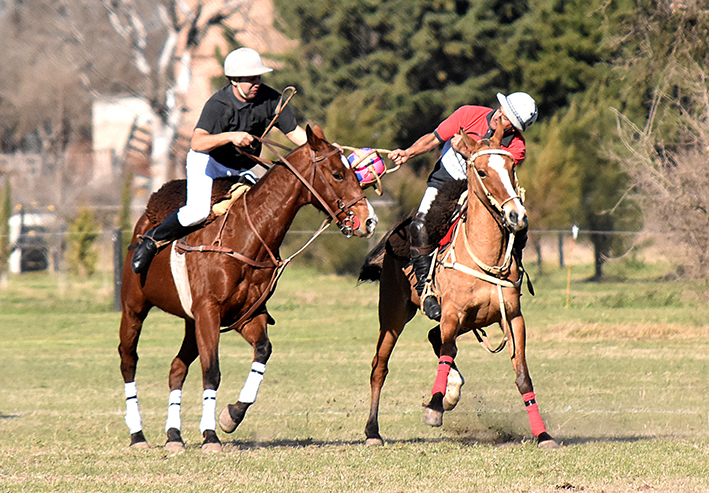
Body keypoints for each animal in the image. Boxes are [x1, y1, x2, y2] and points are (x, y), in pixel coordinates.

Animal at [119, 125, 378, 452]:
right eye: (337, 174)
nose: (369, 221)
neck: (246, 234)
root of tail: (142, 220)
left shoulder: (246, 314)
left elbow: (263, 351)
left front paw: (231, 415)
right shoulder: (209, 312)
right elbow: (212, 371)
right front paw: (210, 435)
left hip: (191, 322)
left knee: (176, 368)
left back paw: (174, 435)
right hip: (134, 308)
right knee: (128, 361)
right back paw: (138, 434)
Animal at [360, 122, 560, 446]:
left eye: (511, 167)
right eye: (482, 172)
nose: (517, 216)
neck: (483, 252)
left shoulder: (512, 318)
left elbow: (522, 376)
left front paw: (542, 434)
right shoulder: (452, 314)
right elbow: (445, 354)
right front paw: (435, 406)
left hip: (471, 319)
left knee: (434, 337)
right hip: (394, 312)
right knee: (381, 366)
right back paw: (372, 431)